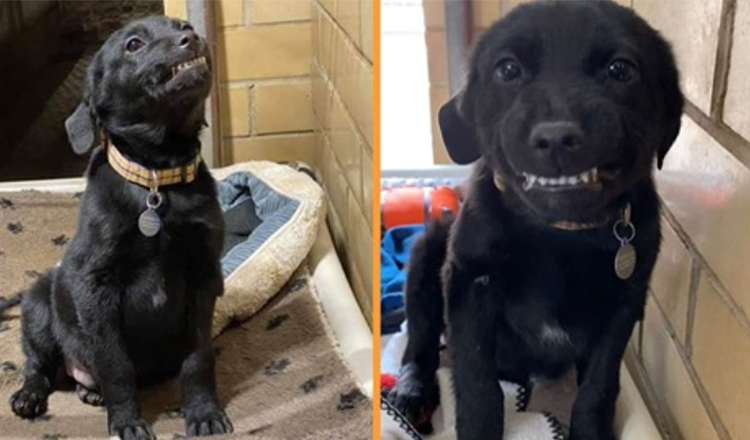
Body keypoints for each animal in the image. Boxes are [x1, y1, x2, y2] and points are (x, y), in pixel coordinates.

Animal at [9, 15, 232, 438]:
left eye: (181, 25)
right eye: (133, 45)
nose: (191, 37)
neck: (157, 179)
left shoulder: (204, 277)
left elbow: (198, 358)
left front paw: (203, 414)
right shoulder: (96, 288)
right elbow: (115, 366)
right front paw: (127, 423)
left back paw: (88, 392)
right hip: (39, 304)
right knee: (38, 365)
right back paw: (29, 397)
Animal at [390, 1, 684, 438]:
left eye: (620, 69)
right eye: (507, 69)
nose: (556, 138)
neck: (561, 232)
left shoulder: (623, 303)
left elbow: (599, 386)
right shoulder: (469, 282)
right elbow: (477, 381)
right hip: (427, 251)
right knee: (419, 344)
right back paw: (410, 391)